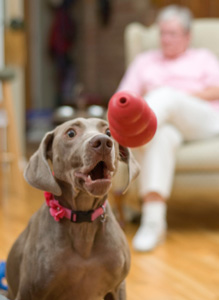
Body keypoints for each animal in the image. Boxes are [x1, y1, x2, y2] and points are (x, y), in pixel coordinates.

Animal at [5, 118, 139, 300]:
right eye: (70, 133)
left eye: (108, 132)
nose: (103, 142)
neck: (83, 220)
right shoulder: (29, 292)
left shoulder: (118, 288)